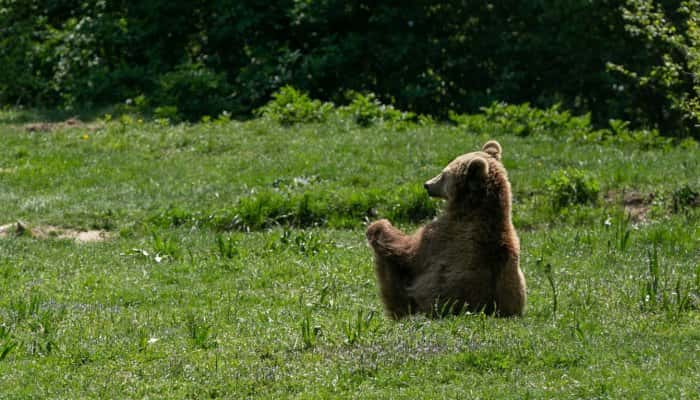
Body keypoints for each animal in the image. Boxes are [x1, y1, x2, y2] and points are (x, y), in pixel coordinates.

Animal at [366, 141, 524, 318]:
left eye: (443, 174)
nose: (427, 185)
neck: (472, 207)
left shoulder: (442, 237)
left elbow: (408, 251)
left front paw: (379, 224)